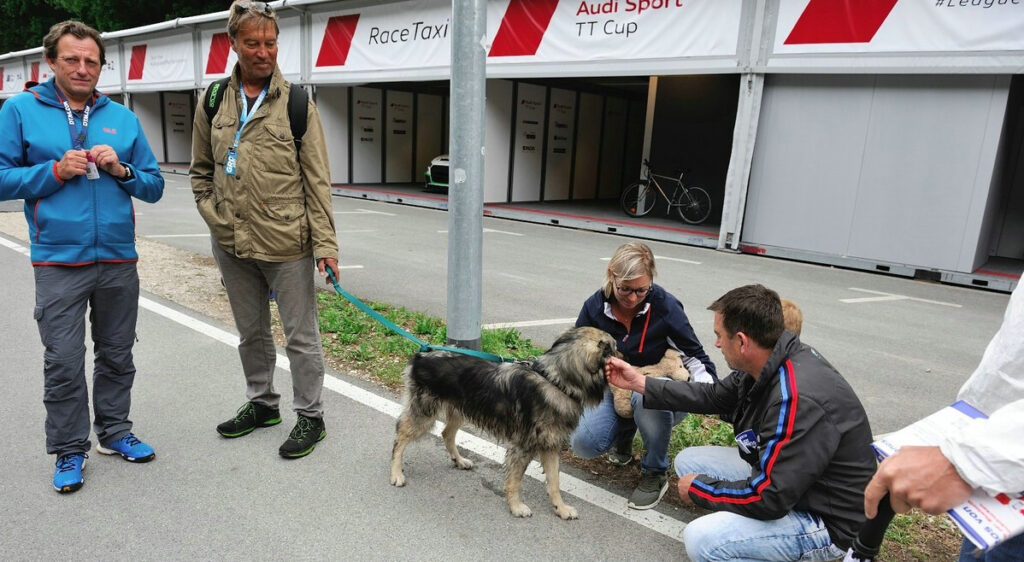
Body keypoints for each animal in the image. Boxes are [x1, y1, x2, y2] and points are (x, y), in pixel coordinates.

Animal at [389, 325, 614, 520]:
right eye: (615, 348)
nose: (624, 359)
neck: (555, 381)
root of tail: (422, 354)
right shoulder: (522, 447)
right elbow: (514, 481)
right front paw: (515, 506)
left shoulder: (550, 445)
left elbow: (554, 481)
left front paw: (561, 509)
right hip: (423, 414)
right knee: (400, 437)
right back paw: (396, 473)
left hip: (459, 410)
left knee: (446, 434)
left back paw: (459, 460)